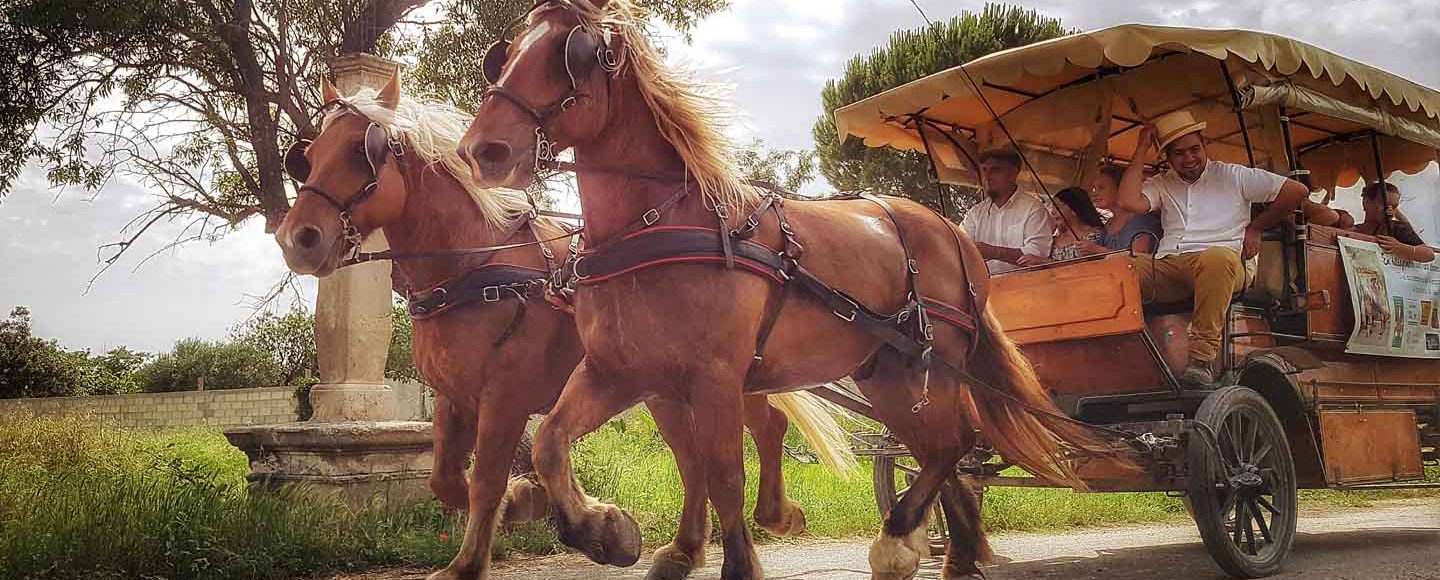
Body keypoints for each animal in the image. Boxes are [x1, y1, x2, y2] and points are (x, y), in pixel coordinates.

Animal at [270, 75, 852, 580]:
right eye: (309, 156)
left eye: (360, 151)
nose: (297, 238)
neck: (473, 266)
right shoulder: (454, 400)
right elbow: (446, 480)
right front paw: (534, 503)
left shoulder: (505, 396)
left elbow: (485, 480)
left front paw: (480, 556)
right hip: (669, 392)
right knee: (698, 458)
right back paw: (690, 547)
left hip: (714, 381)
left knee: (761, 430)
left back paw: (770, 516)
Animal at [455, 1, 1117, 580]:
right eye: (505, 54)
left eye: (573, 54)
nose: (481, 150)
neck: (654, 225)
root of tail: (953, 232)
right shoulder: (620, 372)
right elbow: (552, 441)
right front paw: (604, 530)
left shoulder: (715, 376)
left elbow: (724, 472)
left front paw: (737, 563)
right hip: (889, 376)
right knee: (943, 454)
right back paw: (946, 554)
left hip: (934, 367)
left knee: (953, 445)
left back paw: (898, 540)